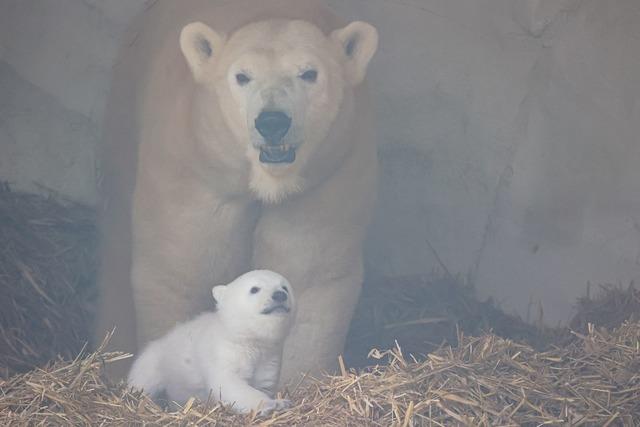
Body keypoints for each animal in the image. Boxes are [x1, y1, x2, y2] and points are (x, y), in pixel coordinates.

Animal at [94, 0, 376, 382]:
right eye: (242, 76)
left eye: (309, 73)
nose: (272, 122)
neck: (267, 183)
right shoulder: (193, 169)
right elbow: (181, 269)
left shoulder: (325, 177)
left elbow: (308, 273)